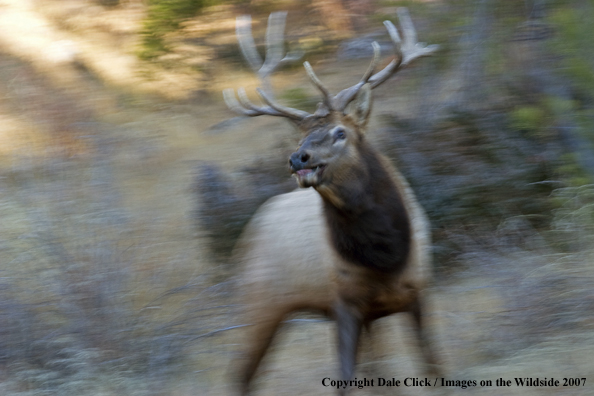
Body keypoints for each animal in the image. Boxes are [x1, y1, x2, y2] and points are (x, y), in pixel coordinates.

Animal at [222, 7, 440, 394]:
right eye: (302, 138)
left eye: (341, 132)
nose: (298, 158)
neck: (387, 260)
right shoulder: (344, 303)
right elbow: (346, 380)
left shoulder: (418, 290)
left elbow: (432, 367)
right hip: (257, 299)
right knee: (241, 374)